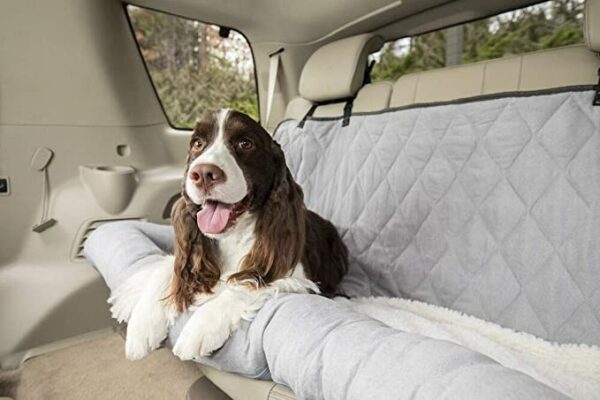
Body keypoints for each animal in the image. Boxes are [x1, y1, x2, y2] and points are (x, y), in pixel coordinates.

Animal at [122, 108, 346, 360]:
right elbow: (166, 269)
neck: (232, 236)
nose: (203, 173)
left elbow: (246, 282)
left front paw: (198, 331)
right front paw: (141, 327)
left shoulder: (296, 276)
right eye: (197, 143)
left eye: (245, 143)